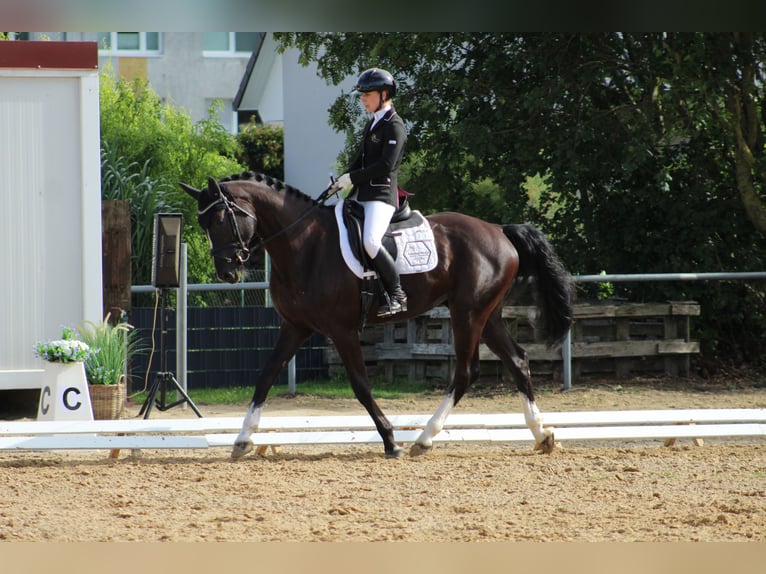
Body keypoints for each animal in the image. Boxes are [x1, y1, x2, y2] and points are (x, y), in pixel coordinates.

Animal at [182, 173, 576, 462]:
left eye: (222, 219)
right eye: (202, 223)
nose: (226, 273)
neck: (303, 244)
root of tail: (499, 230)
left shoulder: (341, 330)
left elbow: (360, 385)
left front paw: (390, 440)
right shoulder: (295, 327)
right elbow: (265, 377)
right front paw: (242, 439)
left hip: (467, 314)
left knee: (466, 372)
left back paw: (423, 439)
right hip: (487, 314)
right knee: (518, 362)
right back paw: (543, 435)